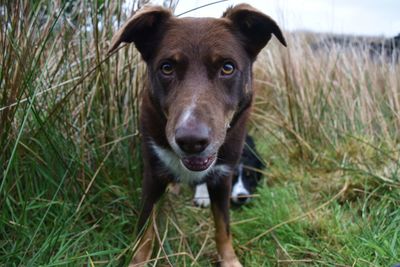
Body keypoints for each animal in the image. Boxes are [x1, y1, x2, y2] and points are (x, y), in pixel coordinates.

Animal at [108, 4, 284, 267]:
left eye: (228, 67)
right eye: (167, 68)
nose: (191, 142)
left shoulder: (224, 175)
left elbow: (223, 226)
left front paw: (229, 260)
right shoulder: (152, 174)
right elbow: (145, 229)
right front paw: (138, 261)